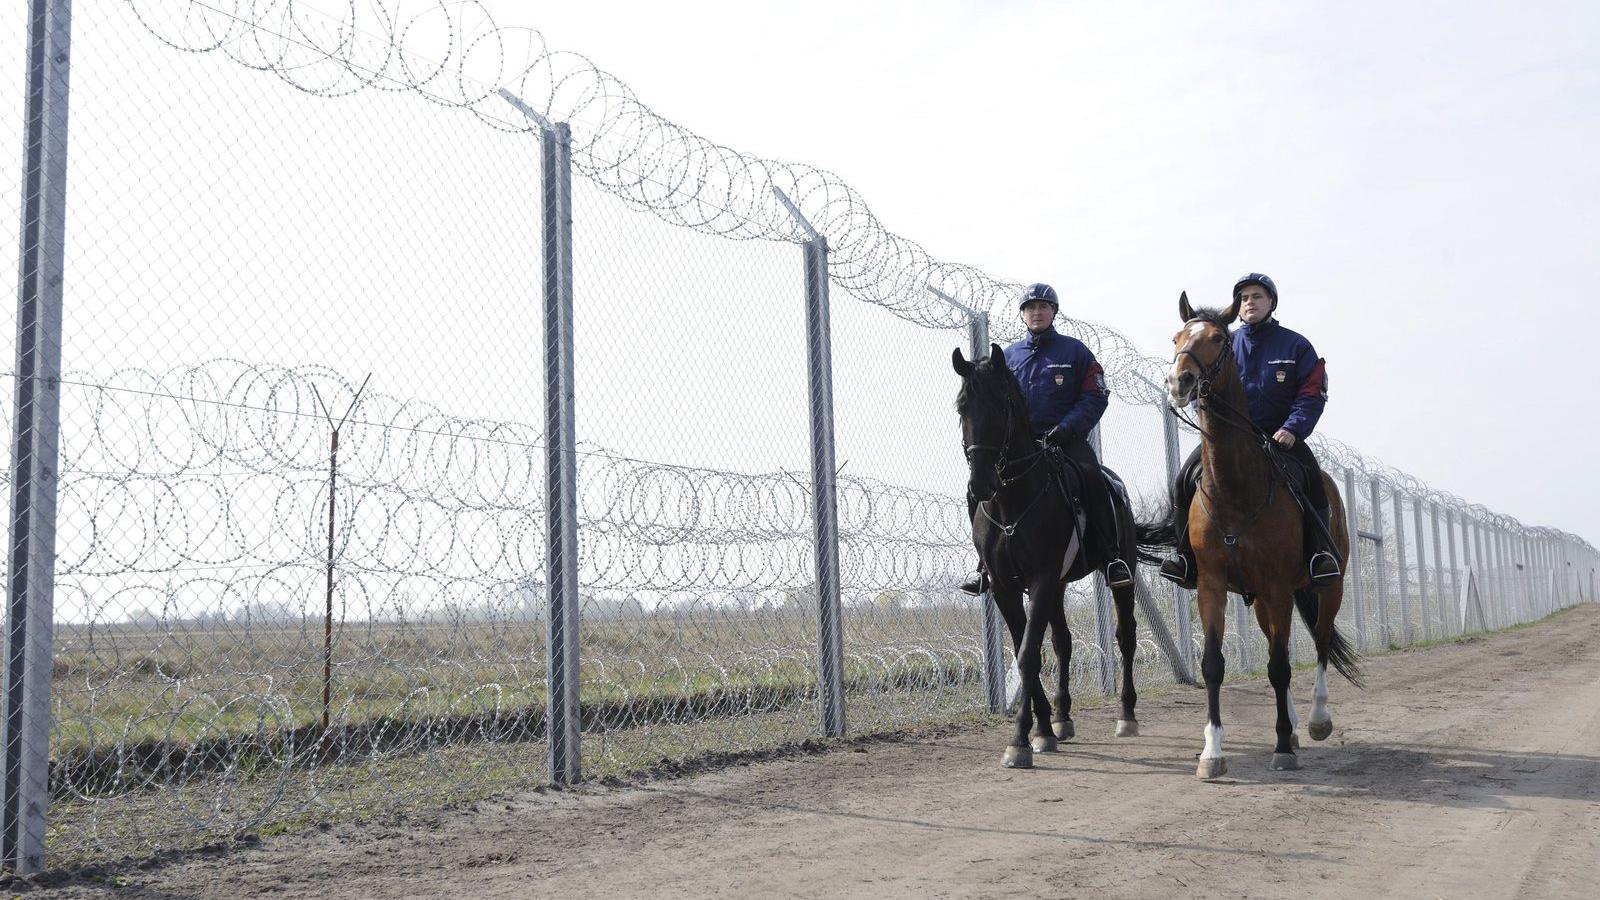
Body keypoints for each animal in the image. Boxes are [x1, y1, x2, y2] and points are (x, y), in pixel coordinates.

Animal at [953, 342, 1145, 762]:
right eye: (962, 407)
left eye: (1001, 405)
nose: (980, 485)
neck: (1011, 503)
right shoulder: (1006, 587)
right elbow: (1027, 650)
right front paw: (1041, 729)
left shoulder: (1040, 579)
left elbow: (1028, 654)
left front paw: (1019, 740)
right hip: (1058, 586)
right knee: (1063, 643)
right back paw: (1062, 717)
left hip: (1120, 575)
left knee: (1126, 636)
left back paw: (1126, 715)